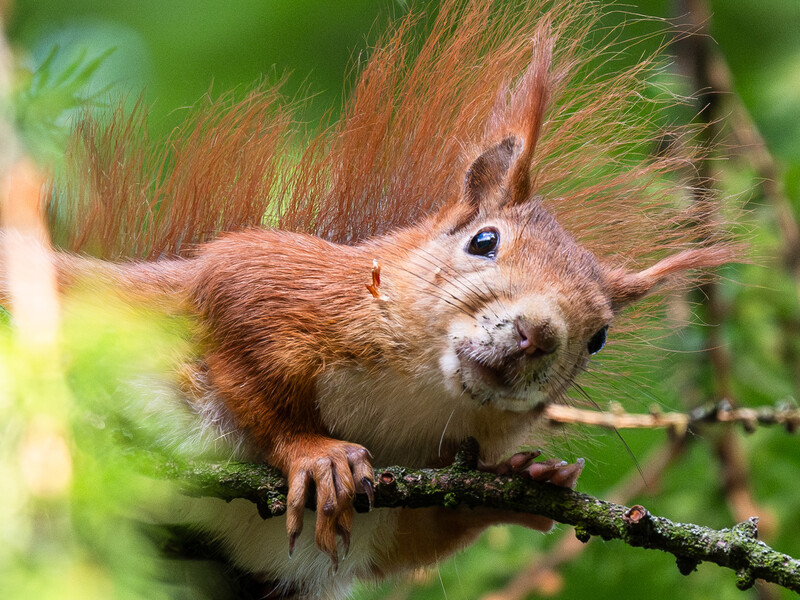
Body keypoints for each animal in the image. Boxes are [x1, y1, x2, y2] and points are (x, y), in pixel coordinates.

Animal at [0, 1, 736, 598]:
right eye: (484, 241)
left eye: (600, 336)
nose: (537, 334)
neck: (409, 396)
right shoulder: (268, 280)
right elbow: (245, 358)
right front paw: (314, 452)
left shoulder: (317, 534)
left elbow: (396, 541)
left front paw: (530, 480)